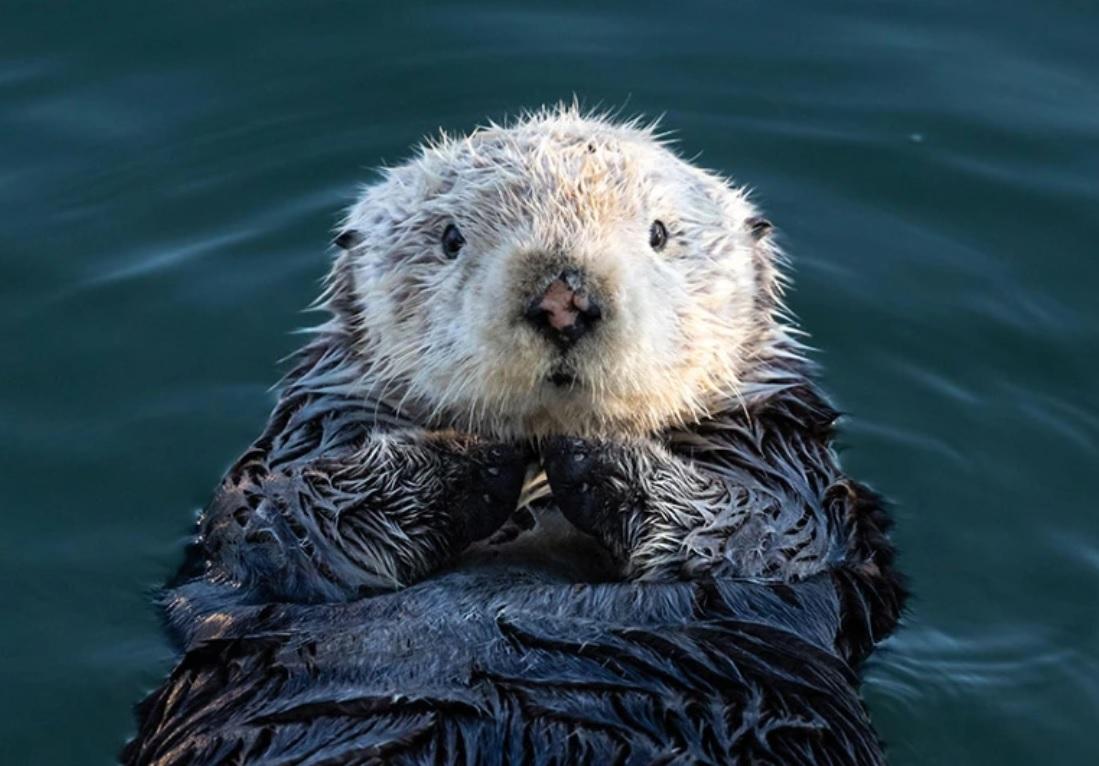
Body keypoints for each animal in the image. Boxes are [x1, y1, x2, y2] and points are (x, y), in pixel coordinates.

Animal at [124, 107, 905, 764]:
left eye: (658, 234)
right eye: (449, 239)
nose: (563, 300)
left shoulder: (795, 481)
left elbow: (756, 532)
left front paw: (590, 448)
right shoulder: (286, 468)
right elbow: (283, 524)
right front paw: (477, 455)